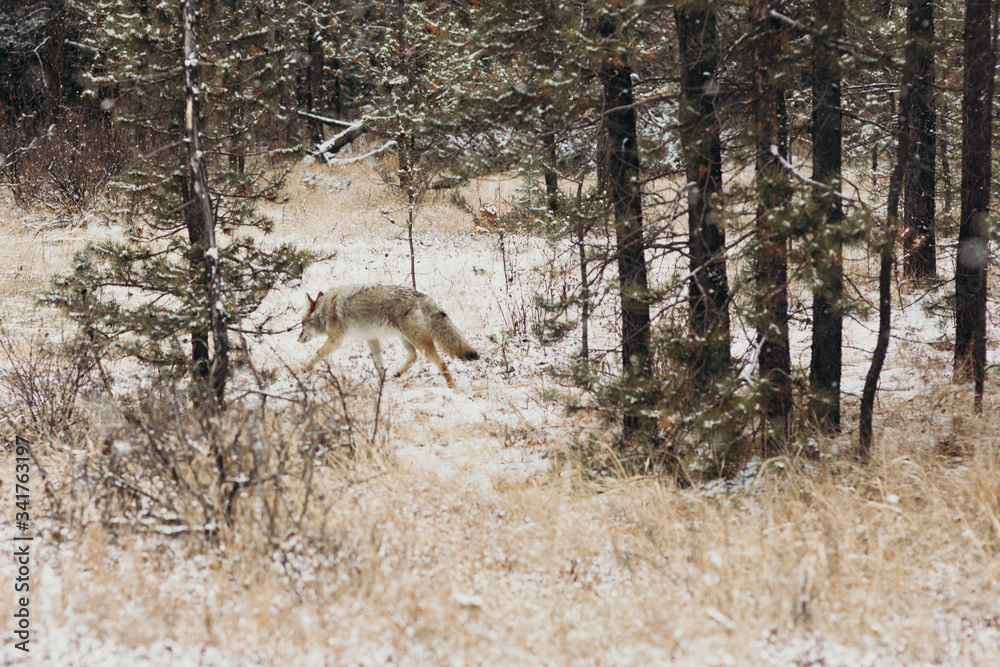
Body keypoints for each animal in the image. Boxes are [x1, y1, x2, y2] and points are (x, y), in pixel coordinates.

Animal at [298, 284, 480, 388]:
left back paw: (452, 387)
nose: (297, 339)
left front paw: (304, 369)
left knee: (441, 362)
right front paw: (381, 385)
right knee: (413, 356)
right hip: (405, 338)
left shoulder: (336, 341)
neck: (325, 310)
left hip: (419, 342)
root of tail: (423, 297)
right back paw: (398, 373)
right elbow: (379, 365)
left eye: (301, 324)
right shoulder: (372, 338)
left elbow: (317, 354)